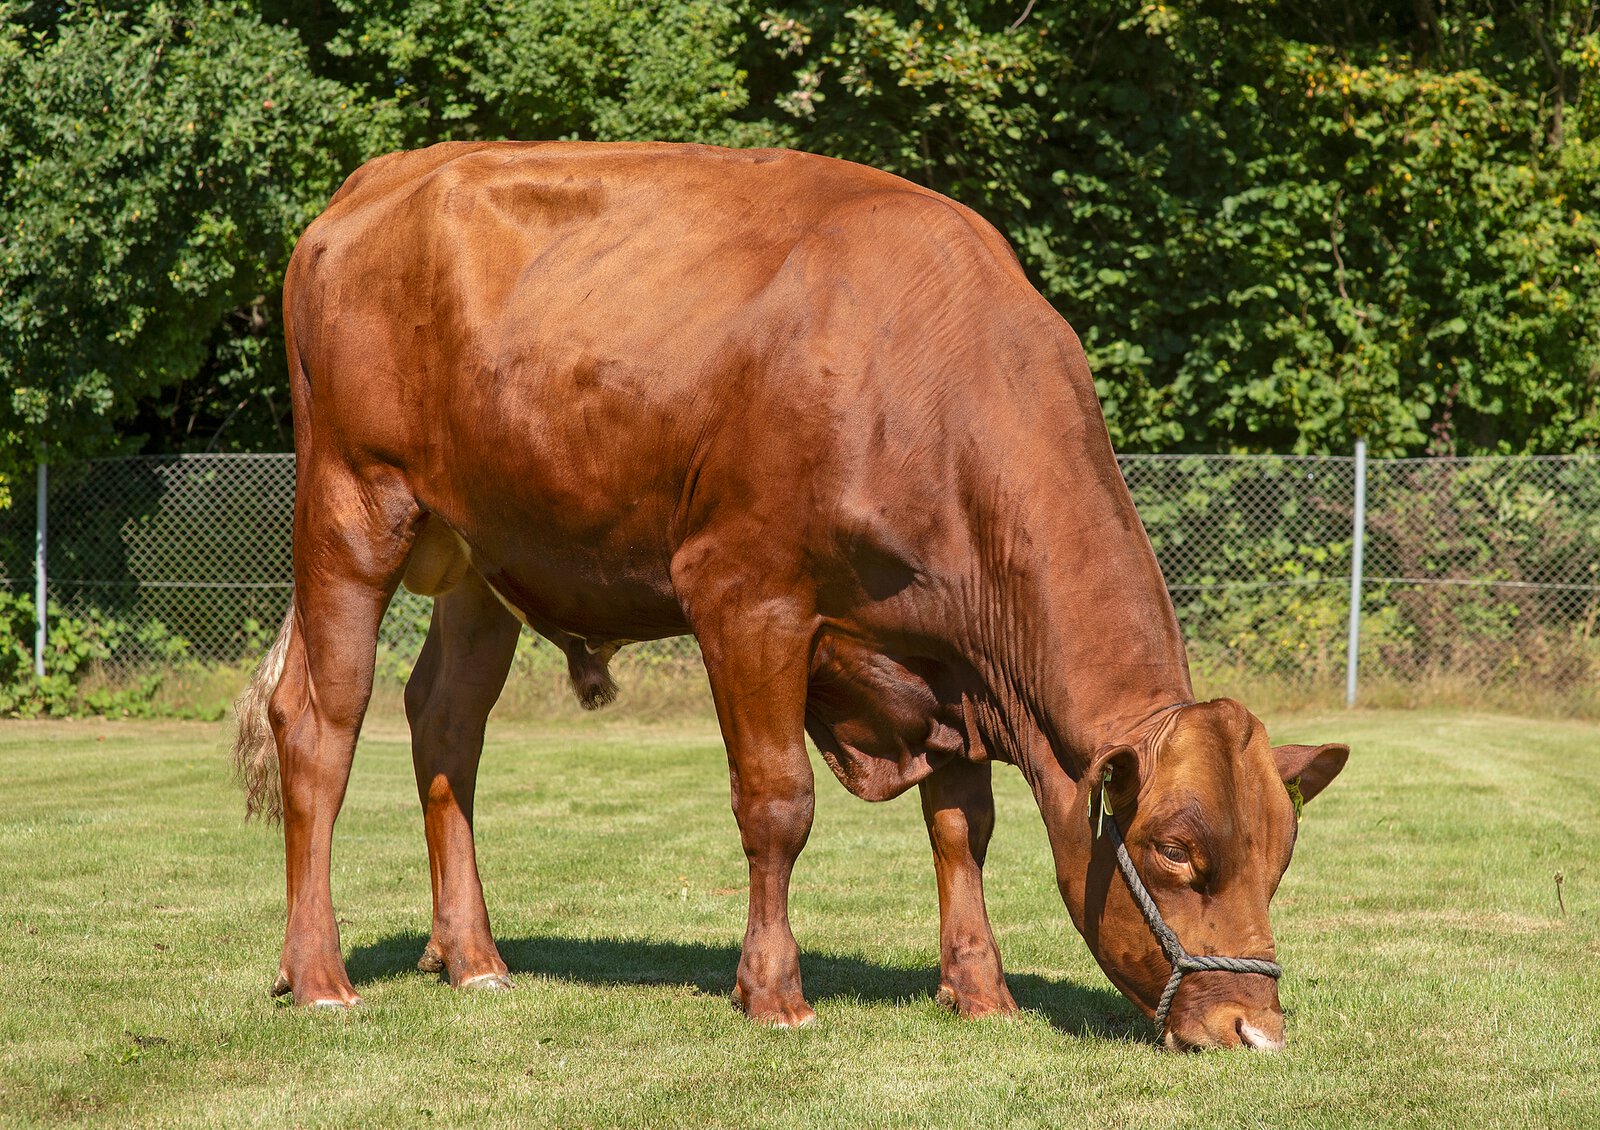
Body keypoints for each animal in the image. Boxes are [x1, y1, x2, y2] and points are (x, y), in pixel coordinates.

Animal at [229, 141, 1348, 1051]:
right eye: (1174, 850)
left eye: (1282, 856)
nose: (1255, 1029)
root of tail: (380, 179)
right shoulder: (746, 595)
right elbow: (778, 803)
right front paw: (773, 993)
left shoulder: (943, 657)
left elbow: (962, 824)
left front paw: (980, 992)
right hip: (353, 503)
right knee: (320, 723)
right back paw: (320, 976)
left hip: (481, 553)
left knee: (447, 725)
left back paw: (473, 960)